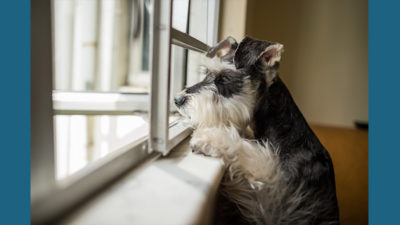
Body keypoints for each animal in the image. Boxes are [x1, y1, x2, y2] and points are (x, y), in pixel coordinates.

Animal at [173, 36, 340, 224]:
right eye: (207, 73)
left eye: (224, 79)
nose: (177, 99)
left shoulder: (274, 205)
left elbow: (261, 160)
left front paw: (210, 138)